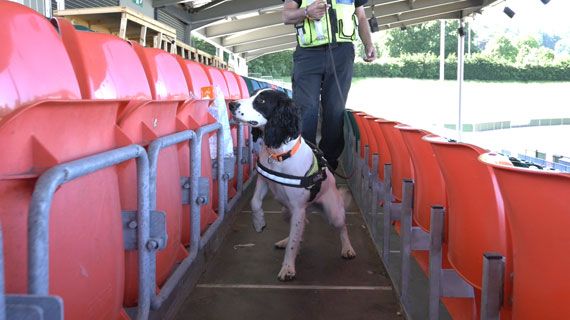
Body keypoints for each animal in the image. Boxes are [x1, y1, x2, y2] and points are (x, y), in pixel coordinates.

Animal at [227, 89, 352, 282]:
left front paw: (288, 268)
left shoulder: (298, 208)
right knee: (303, 225)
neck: (279, 154)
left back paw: (347, 248)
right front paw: (259, 223)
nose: (231, 104)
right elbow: (254, 202)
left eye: (261, 100)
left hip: (333, 214)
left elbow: (293, 244)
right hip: (286, 211)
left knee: (342, 227)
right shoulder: (264, 182)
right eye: (252, 94)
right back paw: (286, 240)